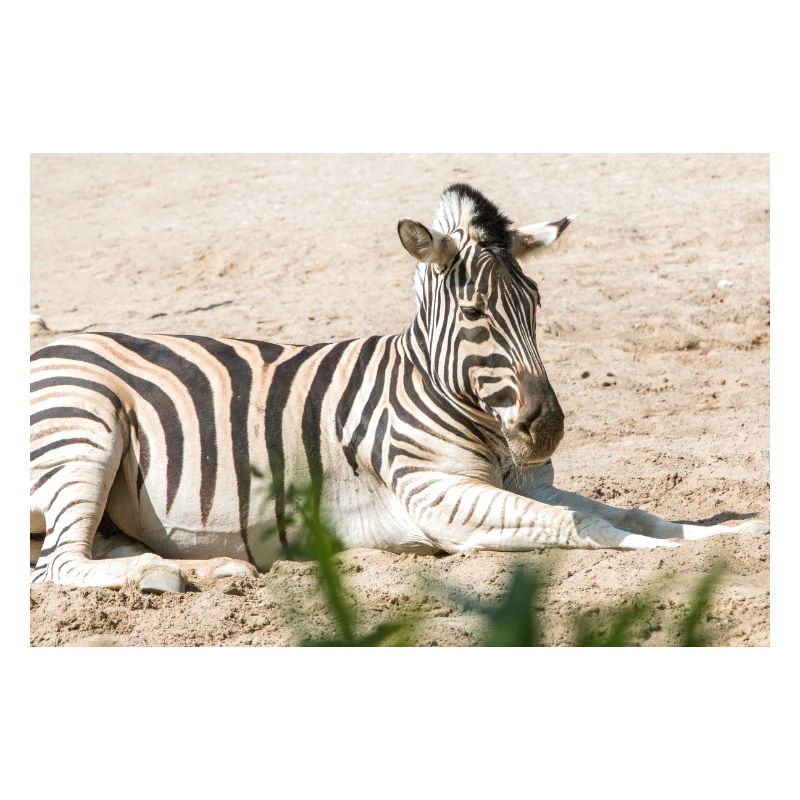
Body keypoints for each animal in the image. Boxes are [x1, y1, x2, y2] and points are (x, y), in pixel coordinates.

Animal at [29, 183, 769, 593]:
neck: (436, 389)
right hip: (85, 427)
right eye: (475, 314)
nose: (547, 429)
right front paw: (670, 556)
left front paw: (729, 530)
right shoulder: (437, 497)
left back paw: (198, 571)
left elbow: (635, 513)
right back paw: (171, 574)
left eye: (536, 302)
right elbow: (585, 526)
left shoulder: (522, 483)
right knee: (58, 567)